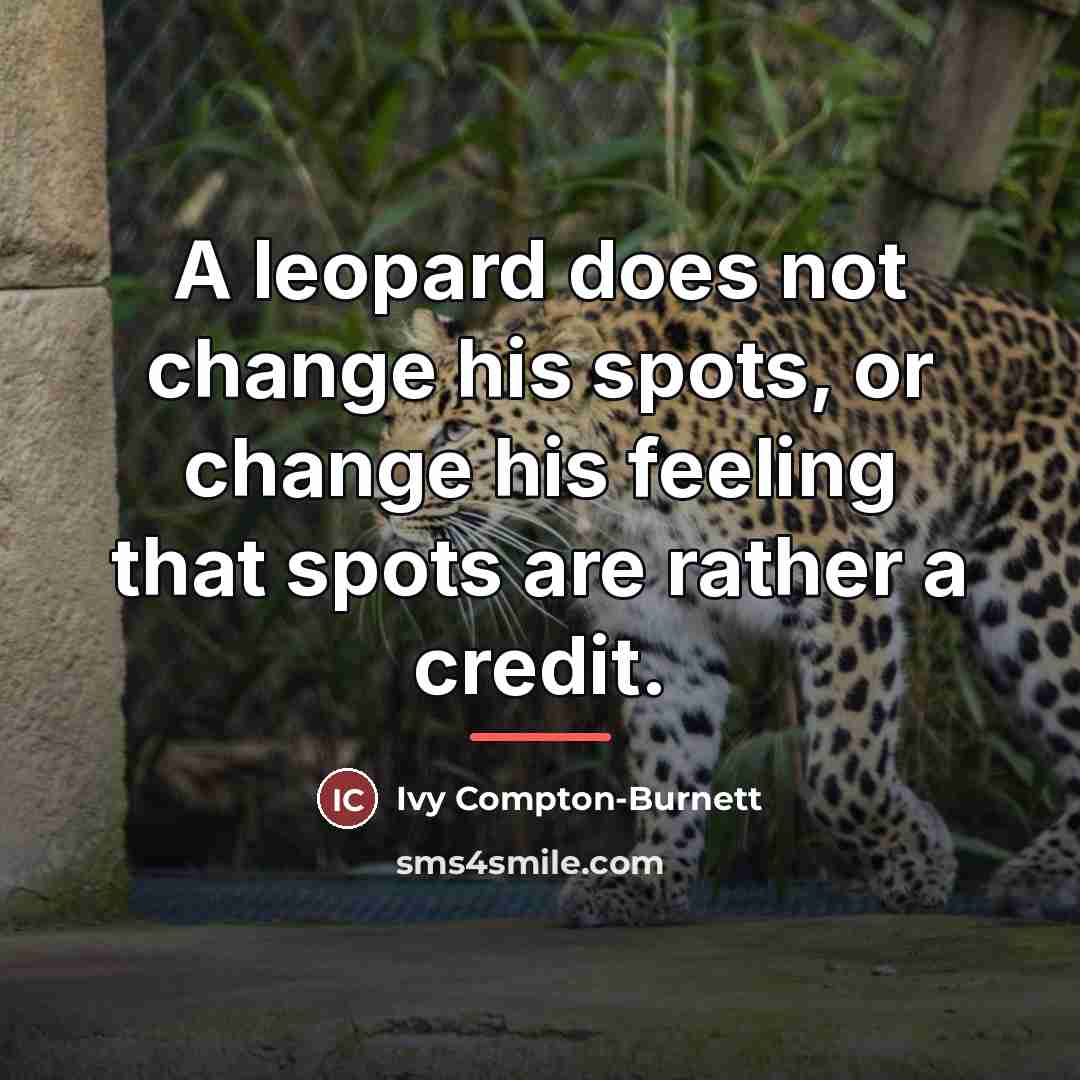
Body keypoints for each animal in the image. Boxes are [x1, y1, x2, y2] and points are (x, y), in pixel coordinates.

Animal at [375, 262, 1080, 927]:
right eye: (390, 422)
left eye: (456, 432)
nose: (385, 504)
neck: (615, 478)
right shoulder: (659, 625)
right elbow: (668, 759)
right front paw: (650, 882)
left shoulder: (841, 576)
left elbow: (841, 768)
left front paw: (919, 858)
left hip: (1030, 577)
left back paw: (1036, 877)